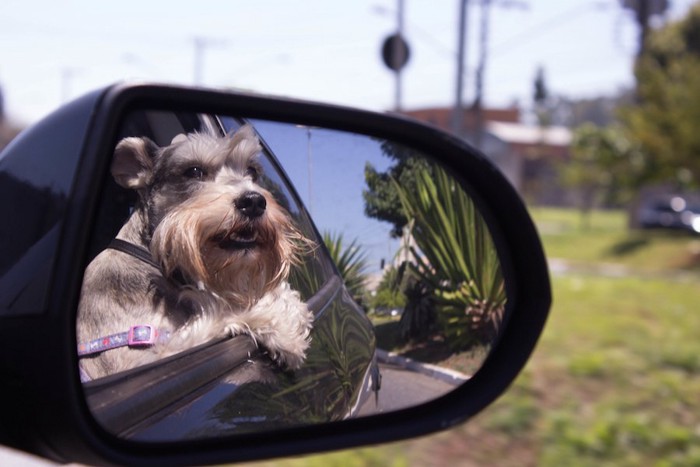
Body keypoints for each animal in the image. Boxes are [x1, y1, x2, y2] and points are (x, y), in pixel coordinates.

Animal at [77, 126, 314, 382]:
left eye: (252, 171)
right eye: (194, 171)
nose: (253, 201)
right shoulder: (144, 356)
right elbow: (220, 310)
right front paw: (284, 326)